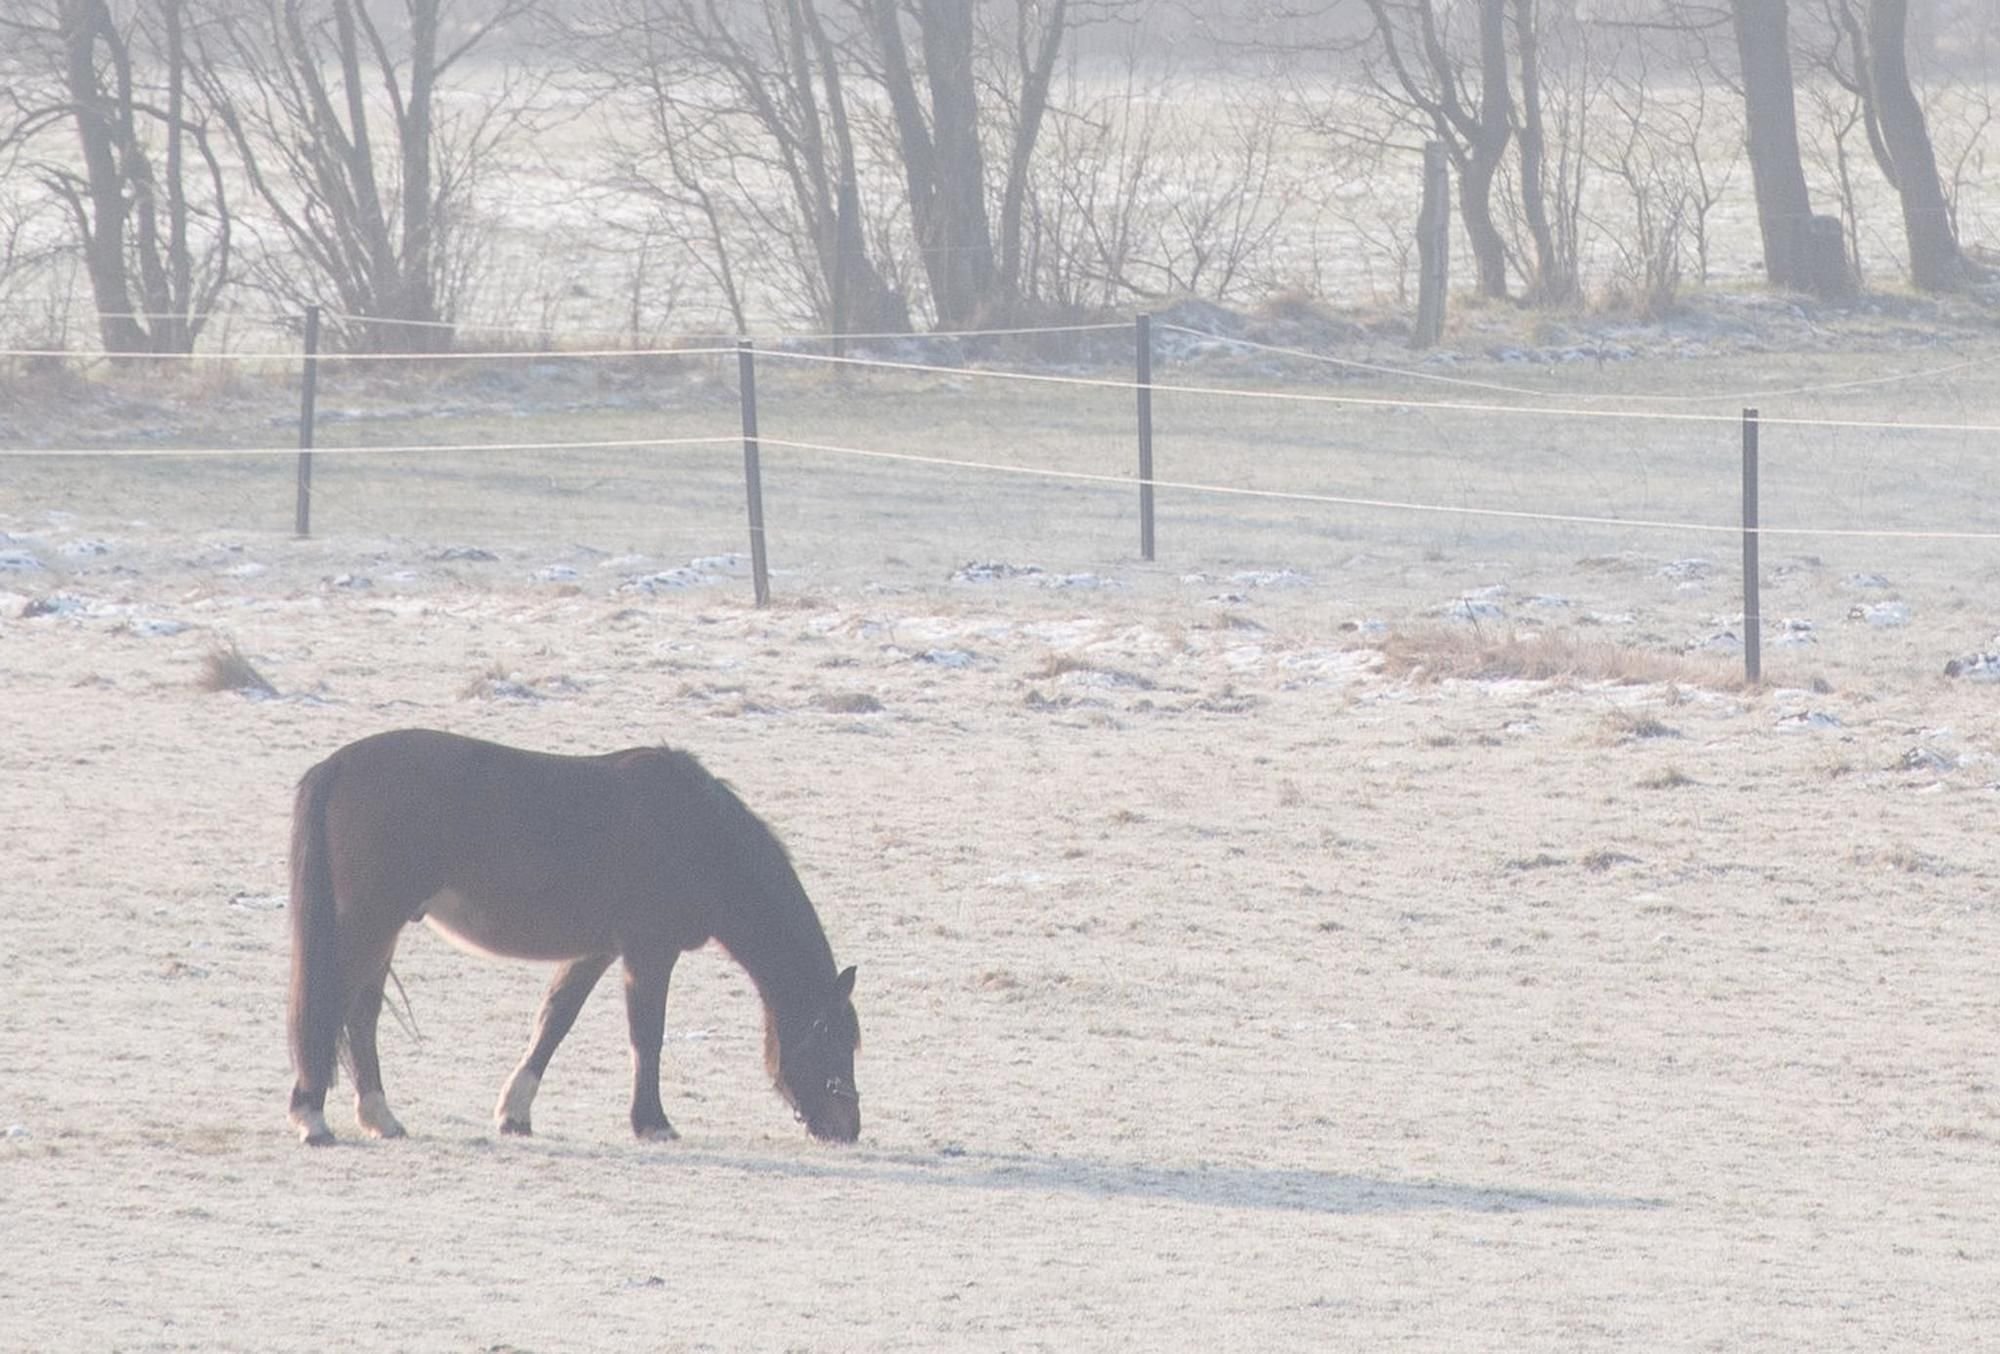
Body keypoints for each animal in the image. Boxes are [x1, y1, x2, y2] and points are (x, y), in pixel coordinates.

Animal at [284, 736, 860, 1144]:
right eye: (831, 1038)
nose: (849, 1129)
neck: (695, 834)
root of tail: (337, 765)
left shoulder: (596, 951)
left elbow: (554, 1022)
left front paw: (515, 1113)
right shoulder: (650, 952)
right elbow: (647, 1035)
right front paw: (652, 1122)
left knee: (361, 1017)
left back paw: (380, 1117)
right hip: (371, 921)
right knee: (332, 1008)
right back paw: (313, 1118)